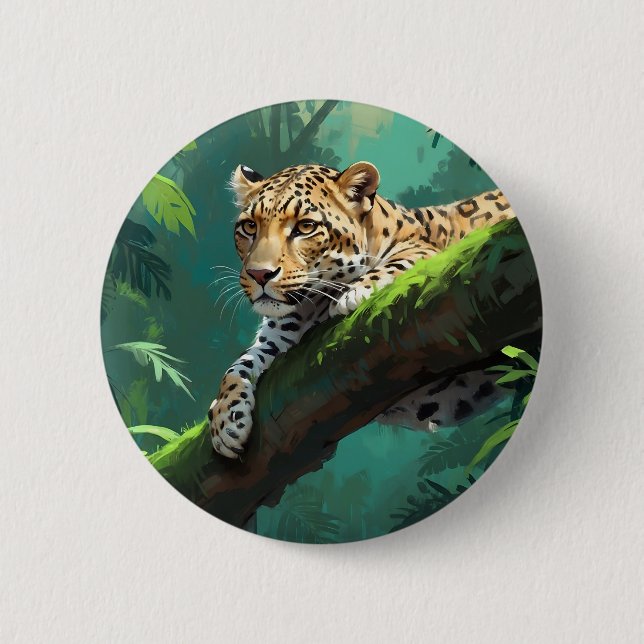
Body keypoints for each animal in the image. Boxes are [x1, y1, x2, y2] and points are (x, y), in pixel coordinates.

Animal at [208, 161, 515, 458]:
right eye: (249, 227)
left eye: (305, 227)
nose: (259, 274)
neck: (307, 308)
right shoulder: (275, 338)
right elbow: (237, 367)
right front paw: (224, 419)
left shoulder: (429, 252)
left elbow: (400, 261)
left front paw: (353, 293)